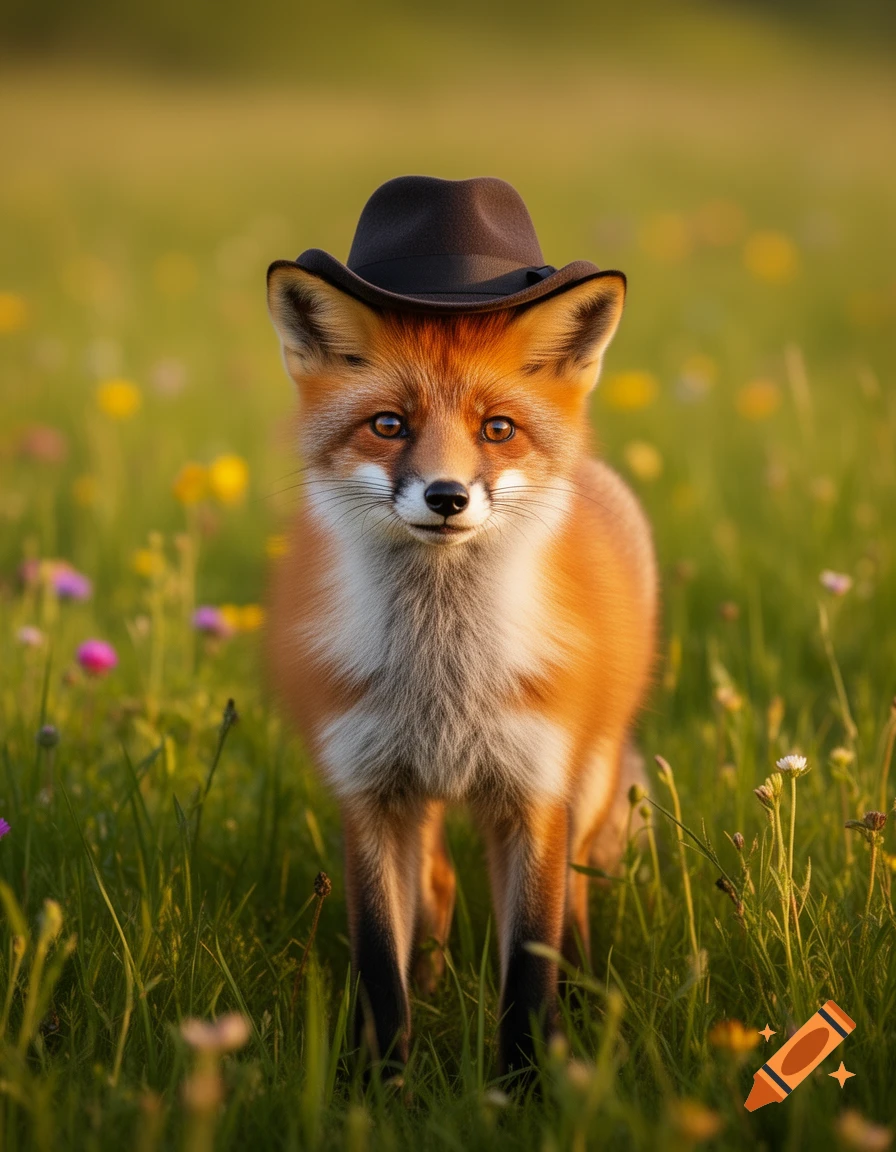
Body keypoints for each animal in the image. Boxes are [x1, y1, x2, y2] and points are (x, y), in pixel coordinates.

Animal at [265, 258, 658, 1076]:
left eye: (496, 429)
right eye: (389, 424)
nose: (446, 496)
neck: (443, 680)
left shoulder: (534, 795)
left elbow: (530, 968)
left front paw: (523, 1085)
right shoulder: (370, 794)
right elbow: (380, 969)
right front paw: (380, 1083)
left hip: (588, 783)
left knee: (574, 900)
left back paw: (579, 999)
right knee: (439, 886)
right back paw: (435, 986)